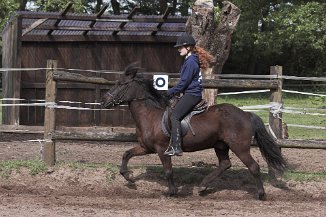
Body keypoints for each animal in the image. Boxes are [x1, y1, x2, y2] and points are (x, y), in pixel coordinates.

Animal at [100, 64, 286, 200]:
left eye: (120, 84)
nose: (103, 101)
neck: (150, 115)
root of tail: (246, 114)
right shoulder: (146, 148)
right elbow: (126, 154)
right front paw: (128, 177)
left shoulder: (162, 149)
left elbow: (168, 171)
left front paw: (172, 192)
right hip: (220, 145)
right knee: (225, 164)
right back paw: (203, 187)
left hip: (239, 147)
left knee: (253, 166)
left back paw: (261, 194)